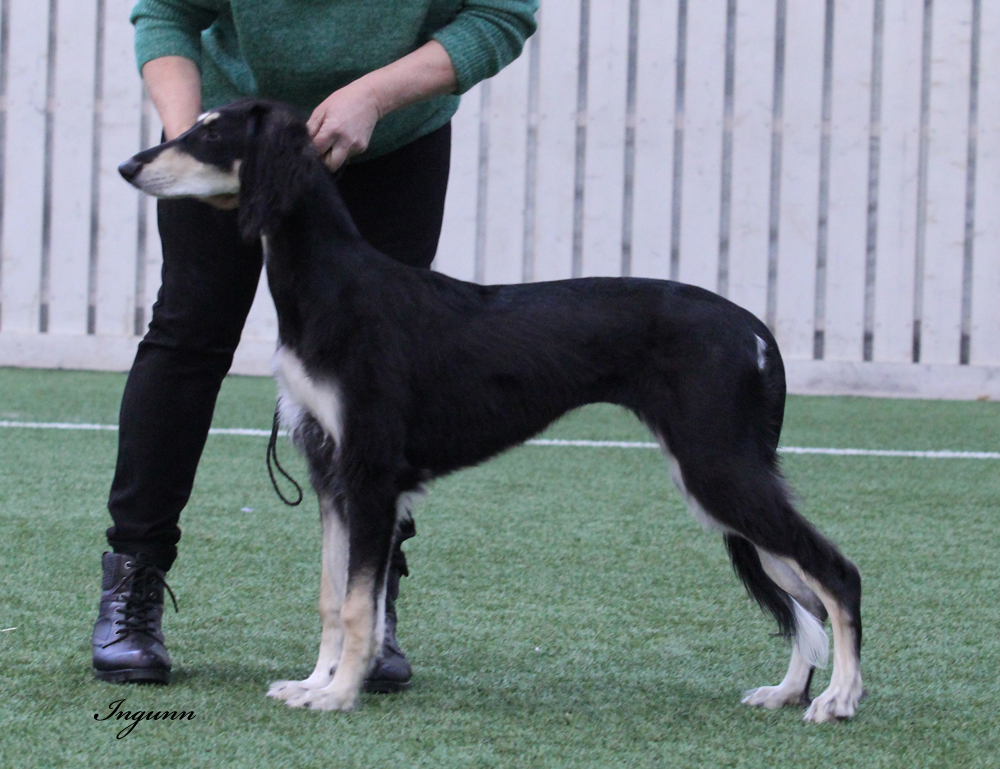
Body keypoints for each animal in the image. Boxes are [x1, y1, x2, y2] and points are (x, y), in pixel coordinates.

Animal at [117, 97, 864, 720]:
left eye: (211, 133)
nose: (129, 165)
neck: (333, 286)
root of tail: (755, 329)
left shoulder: (371, 476)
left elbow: (360, 605)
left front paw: (339, 694)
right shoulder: (331, 475)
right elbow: (333, 596)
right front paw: (314, 681)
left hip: (719, 470)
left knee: (836, 574)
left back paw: (839, 698)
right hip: (722, 480)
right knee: (800, 590)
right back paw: (789, 690)